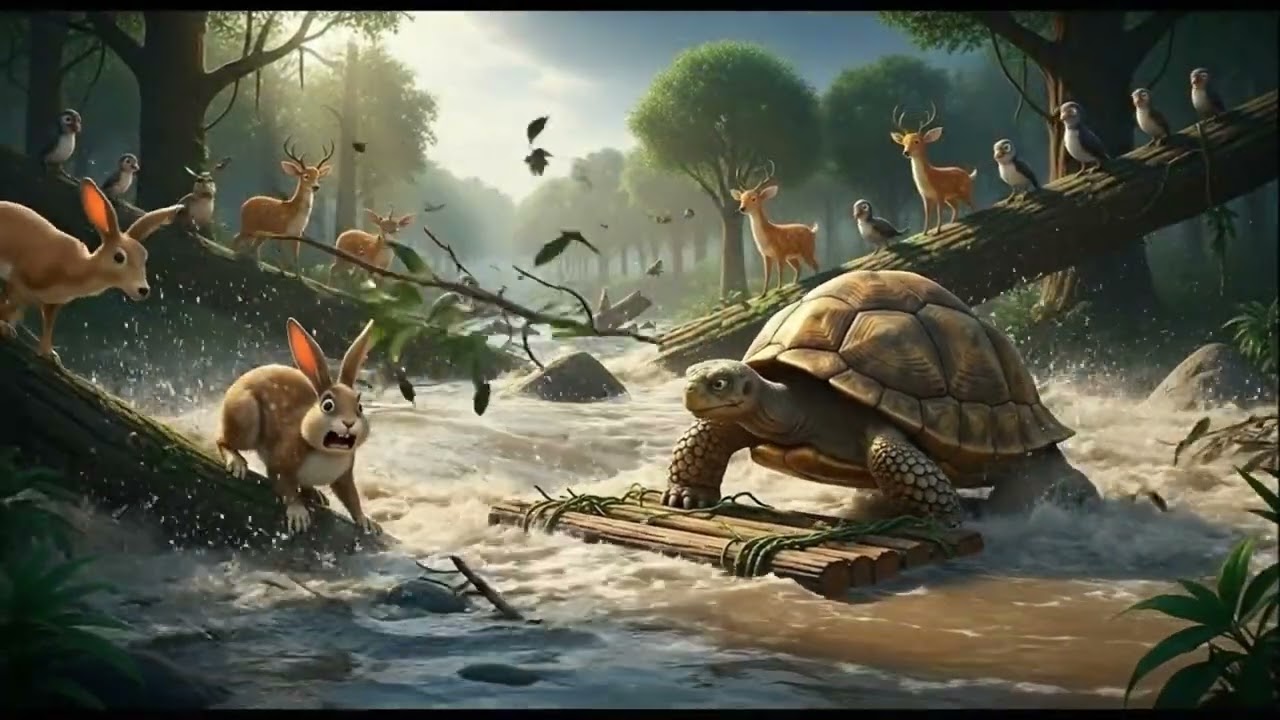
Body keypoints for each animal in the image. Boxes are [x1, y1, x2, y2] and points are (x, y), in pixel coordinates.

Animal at [215, 317, 381, 536]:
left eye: (359, 407)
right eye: (327, 405)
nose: (349, 423)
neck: (328, 454)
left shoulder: (344, 474)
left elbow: (351, 496)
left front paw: (365, 521)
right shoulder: (283, 457)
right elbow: (284, 485)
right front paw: (298, 513)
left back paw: (316, 494)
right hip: (244, 416)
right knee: (222, 440)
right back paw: (236, 461)